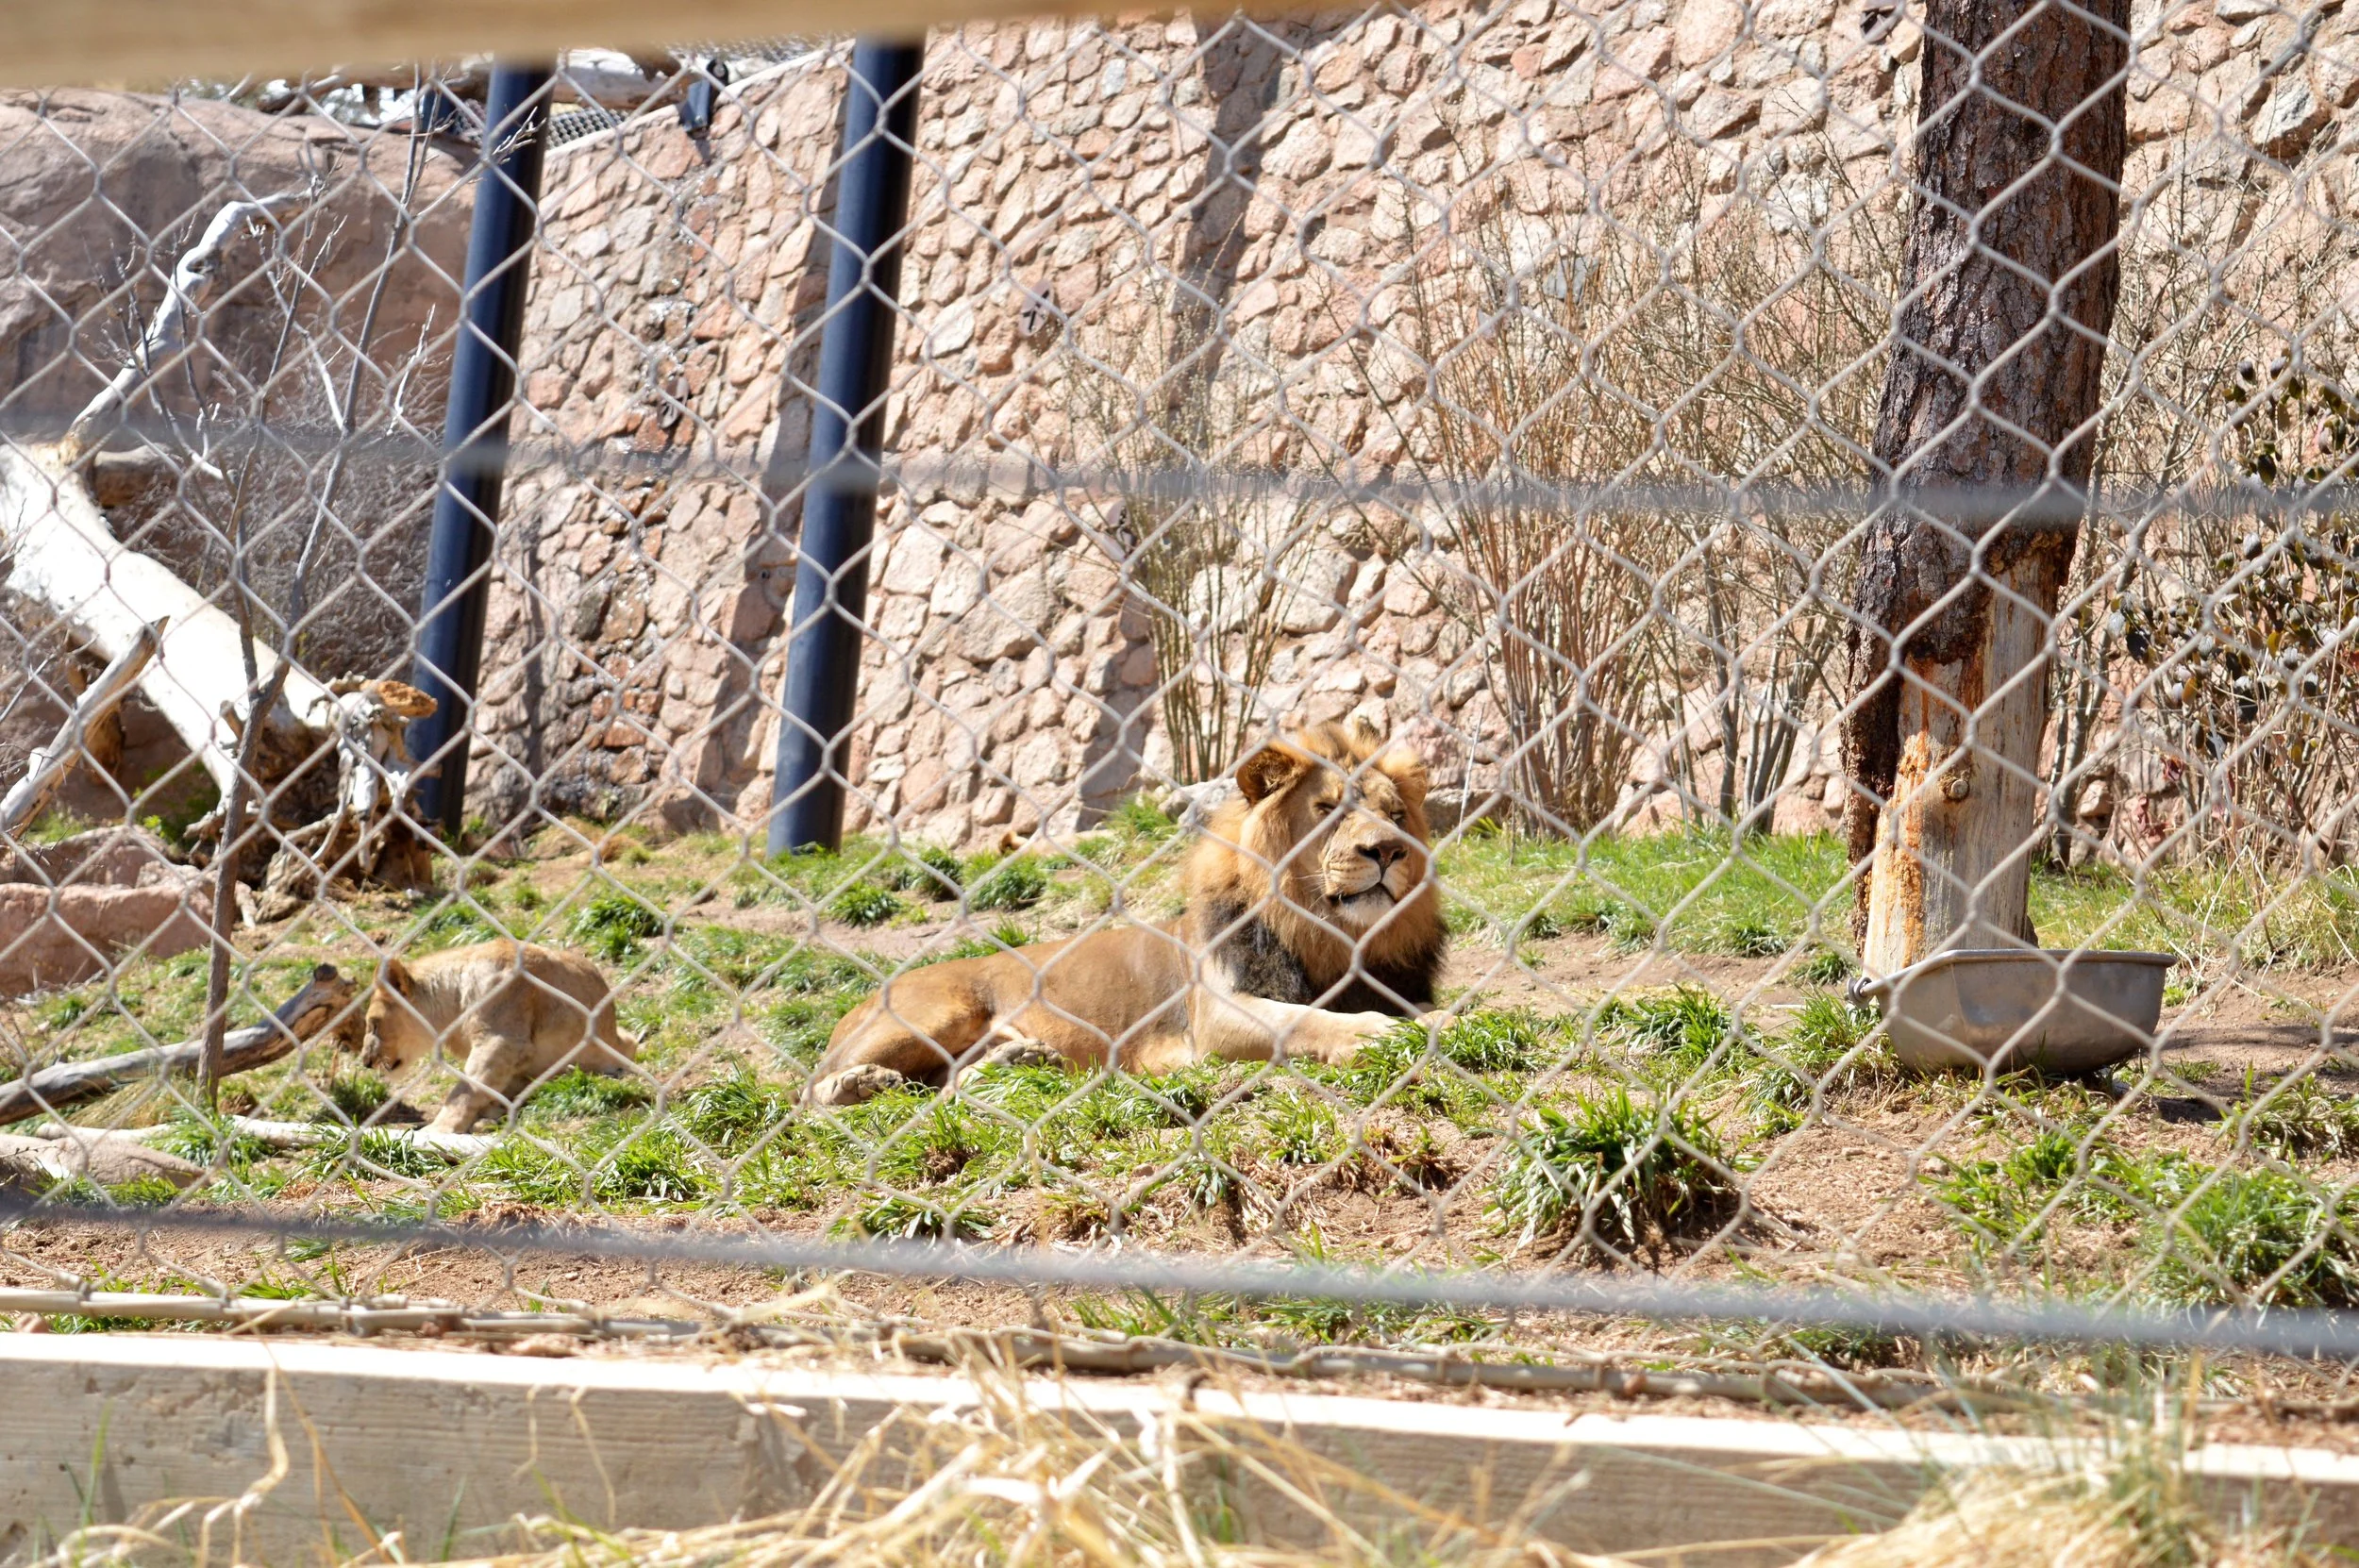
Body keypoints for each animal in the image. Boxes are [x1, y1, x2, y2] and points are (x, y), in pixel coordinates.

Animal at [806, 719, 1448, 1106]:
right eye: (1327, 810)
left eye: (1395, 815)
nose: (1387, 850)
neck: (1331, 936)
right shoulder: (1215, 1014)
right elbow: (1304, 1019)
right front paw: (1376, 1032)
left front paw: (1438, 1019)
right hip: (930, 1014)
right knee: (808, 1095)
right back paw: (859, 1085)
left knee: (949, 1086)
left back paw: (1016, 1058)